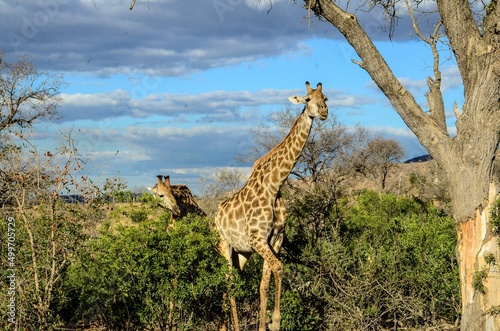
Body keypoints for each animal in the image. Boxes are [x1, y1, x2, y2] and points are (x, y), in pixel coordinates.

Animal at [215, 81, 328, 331]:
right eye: (307, 99)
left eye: (325, 98)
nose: (324, 112)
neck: (275, 185)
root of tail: (215, 215)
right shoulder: (258, 238)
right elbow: (279, 268)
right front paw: (274, 321)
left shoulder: (275, 239)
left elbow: (264, 283)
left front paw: (267, 324)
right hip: (224, 246)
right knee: (228, 283)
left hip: (242, 253)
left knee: (233, 283)